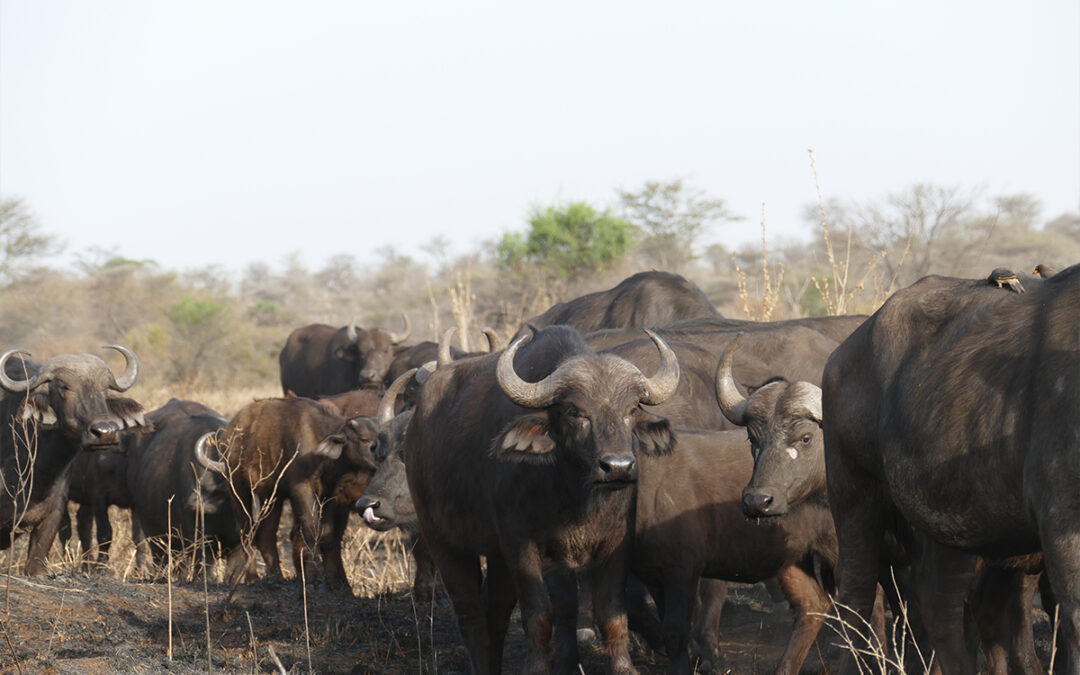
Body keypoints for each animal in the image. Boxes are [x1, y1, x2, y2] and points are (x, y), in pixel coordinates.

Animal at [408, 324, 678, 669]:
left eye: (631, 410)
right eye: (576, 411)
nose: (617, 466)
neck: (573, 494)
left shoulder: (617, 540)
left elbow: (612, 615)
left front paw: (623, 668)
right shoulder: (521, 544)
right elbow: (539, 615)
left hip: (496, 556)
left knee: (496, 613)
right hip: (442, 541)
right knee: (470, 614)